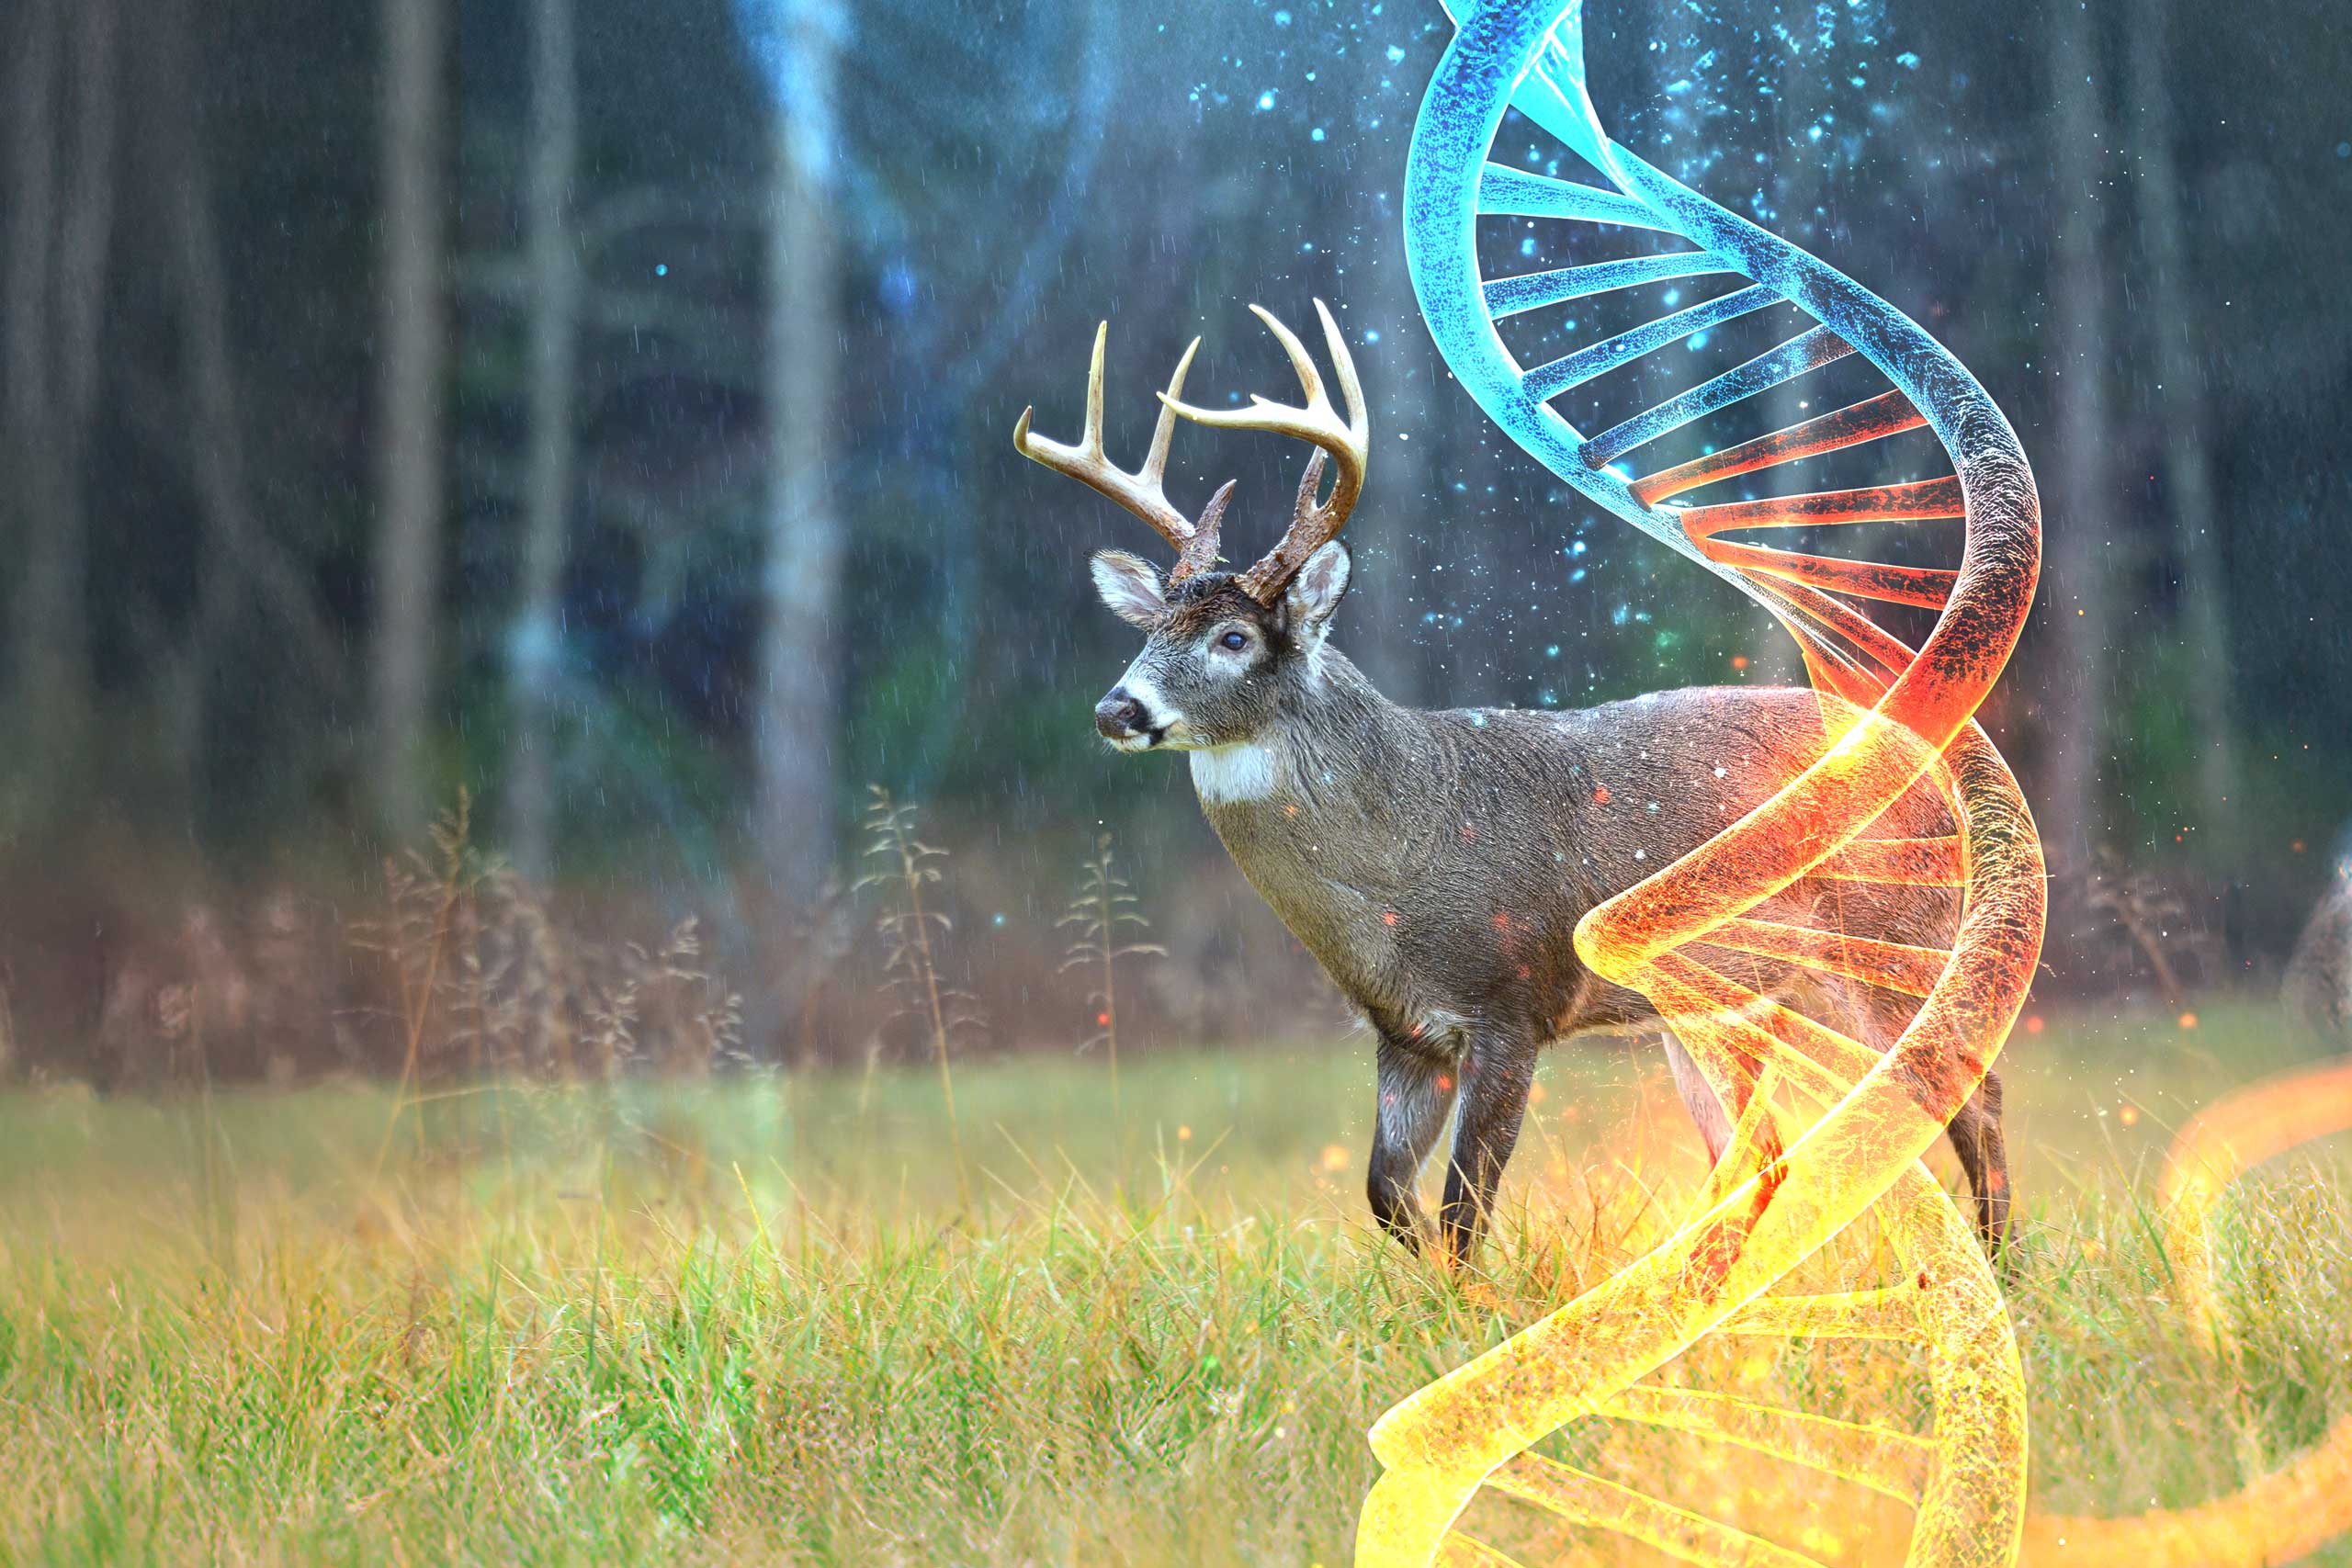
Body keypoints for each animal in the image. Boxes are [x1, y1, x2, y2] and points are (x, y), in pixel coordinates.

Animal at [1014, 300, 2010, 1266]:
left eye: (1234, 638)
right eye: (1150, 632)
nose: (1117, 708)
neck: (1400, 863)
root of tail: (1941, 776)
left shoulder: (1515, 1002)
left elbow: (1465, 1208)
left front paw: (1473, 1305)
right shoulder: (1406, 1034)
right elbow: (1385, 1195)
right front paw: (1436, 1298)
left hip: (1892, 942)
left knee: (1967, 1090)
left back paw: (2001, 1267)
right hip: (1719, 1000)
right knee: (1759, 1153)